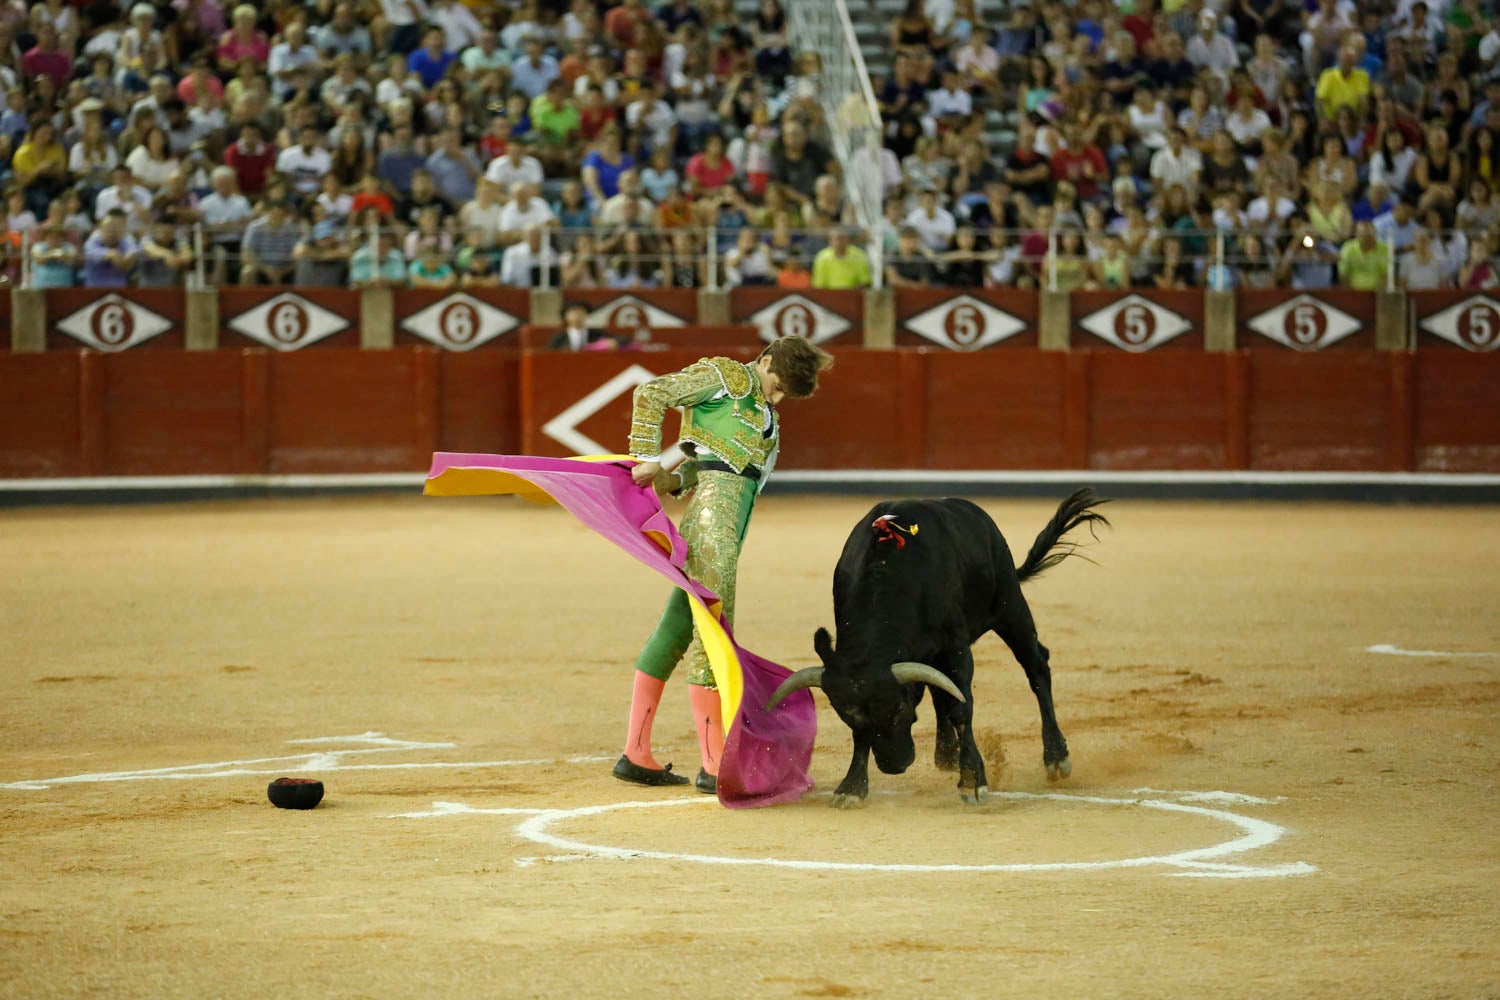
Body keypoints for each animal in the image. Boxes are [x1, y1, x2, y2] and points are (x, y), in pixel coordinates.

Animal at [768, 494, 1110, 815]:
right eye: (846, 715)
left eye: (900, 708)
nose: (894, 764)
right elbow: (920, 705)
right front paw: (851, 787)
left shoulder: (955, 648)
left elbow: (961, 706)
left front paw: (972, 781)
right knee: (940, 689)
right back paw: (946, 753)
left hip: (1010, 606)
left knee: (1036, 667)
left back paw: (1056, 756)